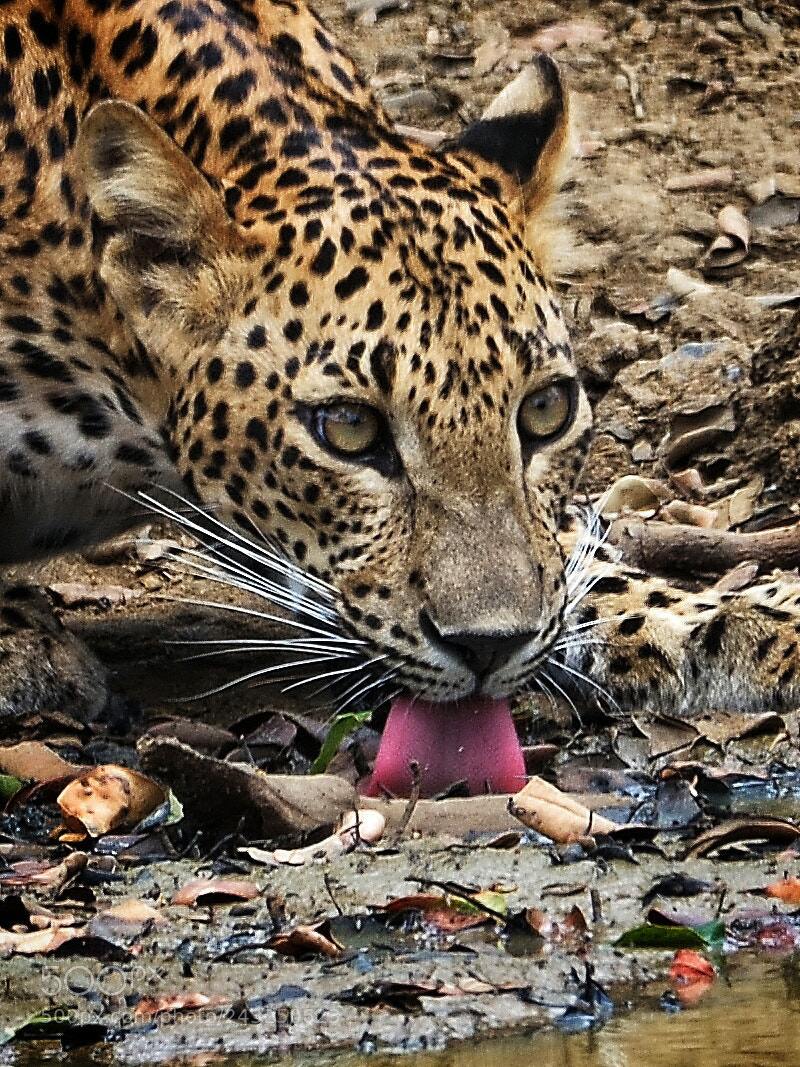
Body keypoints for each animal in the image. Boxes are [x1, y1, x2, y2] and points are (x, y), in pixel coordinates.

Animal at [1, 0, 799, 796]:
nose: (489, 647)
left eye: (545, 410)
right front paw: (23, 644)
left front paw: (749, 619)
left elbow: (578, 560)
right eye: (349, 428)